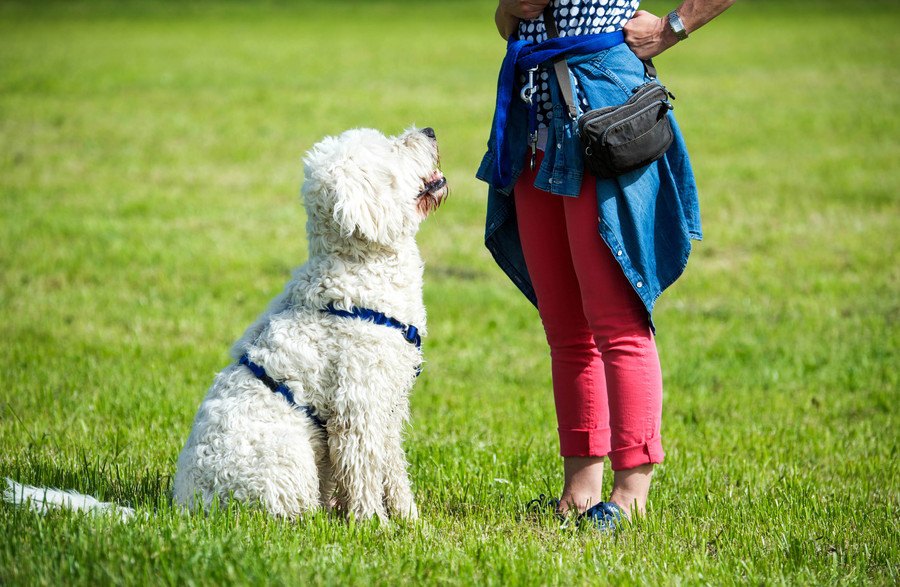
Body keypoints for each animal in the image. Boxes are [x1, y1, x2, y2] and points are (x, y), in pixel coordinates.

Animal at [3, 126, 446, 520]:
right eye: (390, 150)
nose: (430, 130)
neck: (356, 272)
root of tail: (182, 511)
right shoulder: (358, 408)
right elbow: (365, 473)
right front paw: (375, 525)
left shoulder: (388, 404)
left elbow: (393, 469)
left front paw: (410, 520)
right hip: (289, 459)